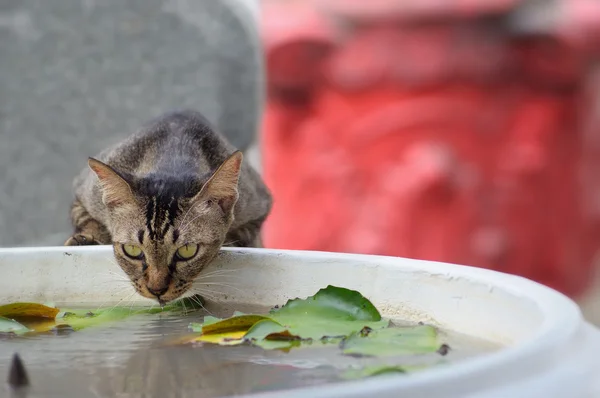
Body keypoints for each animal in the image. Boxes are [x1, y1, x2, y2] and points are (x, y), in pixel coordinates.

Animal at [65, 110, 272, 304]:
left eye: (187, 250)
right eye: (132, 250)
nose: (156, 289)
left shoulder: (259, 205)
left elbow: (242, 235)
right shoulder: (82, 192)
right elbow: (86, 219)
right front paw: (85, 239)